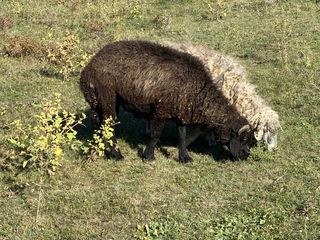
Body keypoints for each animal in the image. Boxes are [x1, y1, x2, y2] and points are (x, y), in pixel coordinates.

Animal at [79, 40, 252, 162]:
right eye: (243, 138)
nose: (247, 154)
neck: (198, 92)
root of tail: (88, 67)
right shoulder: (161, 111)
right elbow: (156, 135)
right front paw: (148, 155)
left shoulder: (181, 113)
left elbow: (181, 136)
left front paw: (184, 158)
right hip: (106, 96)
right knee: (108, 125)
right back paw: (116, 154)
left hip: (104, 102)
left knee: (101, 125)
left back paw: (101, 149)